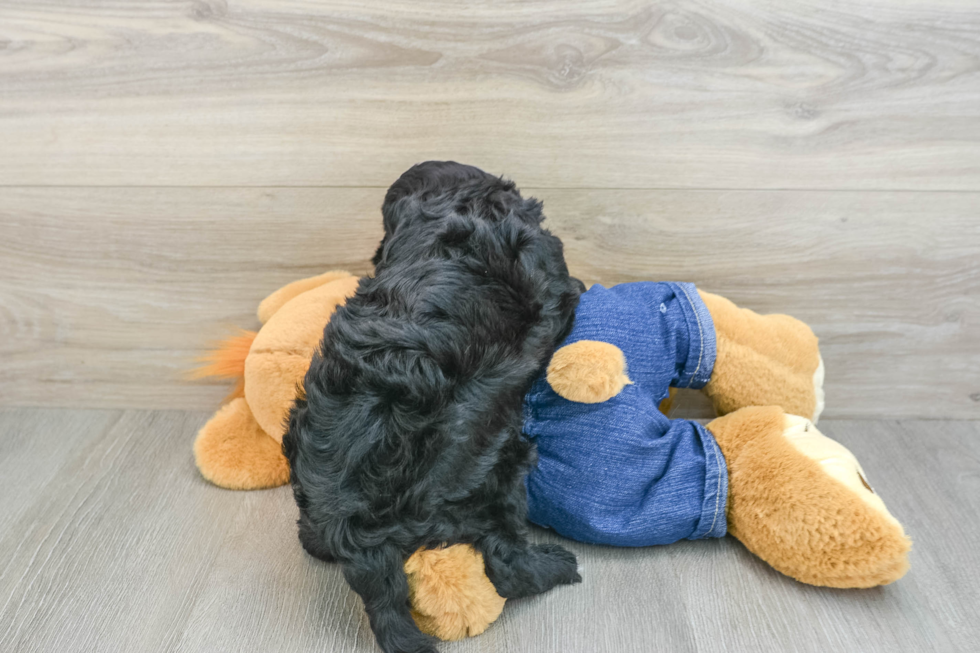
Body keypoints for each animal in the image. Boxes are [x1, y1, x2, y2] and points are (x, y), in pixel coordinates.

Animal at [288, 160, 584, 648]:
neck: (455, 204)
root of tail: (354, 525)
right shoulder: (554, 275)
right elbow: (570, 286)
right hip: (500, 470)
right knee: (507, 563)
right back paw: (557, 566)